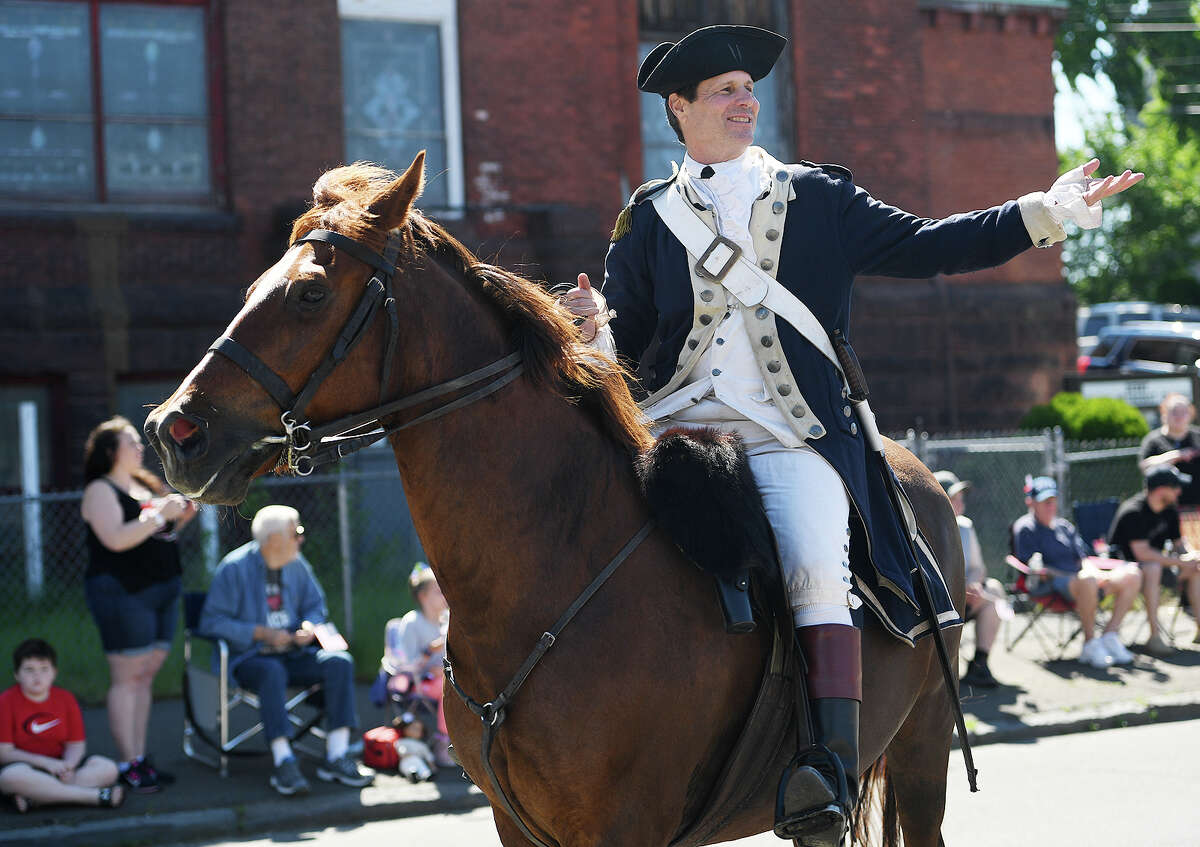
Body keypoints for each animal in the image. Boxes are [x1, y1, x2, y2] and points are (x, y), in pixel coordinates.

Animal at [145, 153, 964, 844]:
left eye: (311, 293)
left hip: (923, 752)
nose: (172, 431)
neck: (548, 570)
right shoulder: (516, 823)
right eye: (254, 287)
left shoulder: (626, 825)